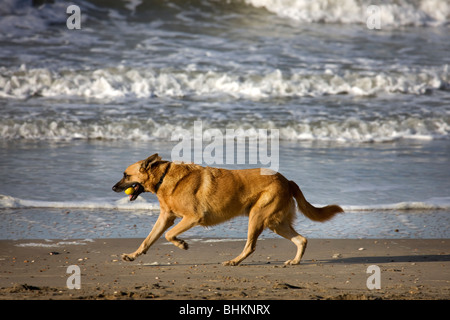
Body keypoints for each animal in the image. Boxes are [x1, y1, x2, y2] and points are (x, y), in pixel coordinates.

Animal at [111, 154, 342, 266]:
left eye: (126, 175)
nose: (113, 188)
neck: (164, 176)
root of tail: (287, 180)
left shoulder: (192, 217)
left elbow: (169, 235)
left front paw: (182, 244)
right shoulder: (165, 218)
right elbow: (148, 240)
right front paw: (132, 255)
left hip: (257, 217)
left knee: (250, 247)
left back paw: (234, 261)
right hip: (276, 223)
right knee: (301, 239)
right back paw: (294, 261)